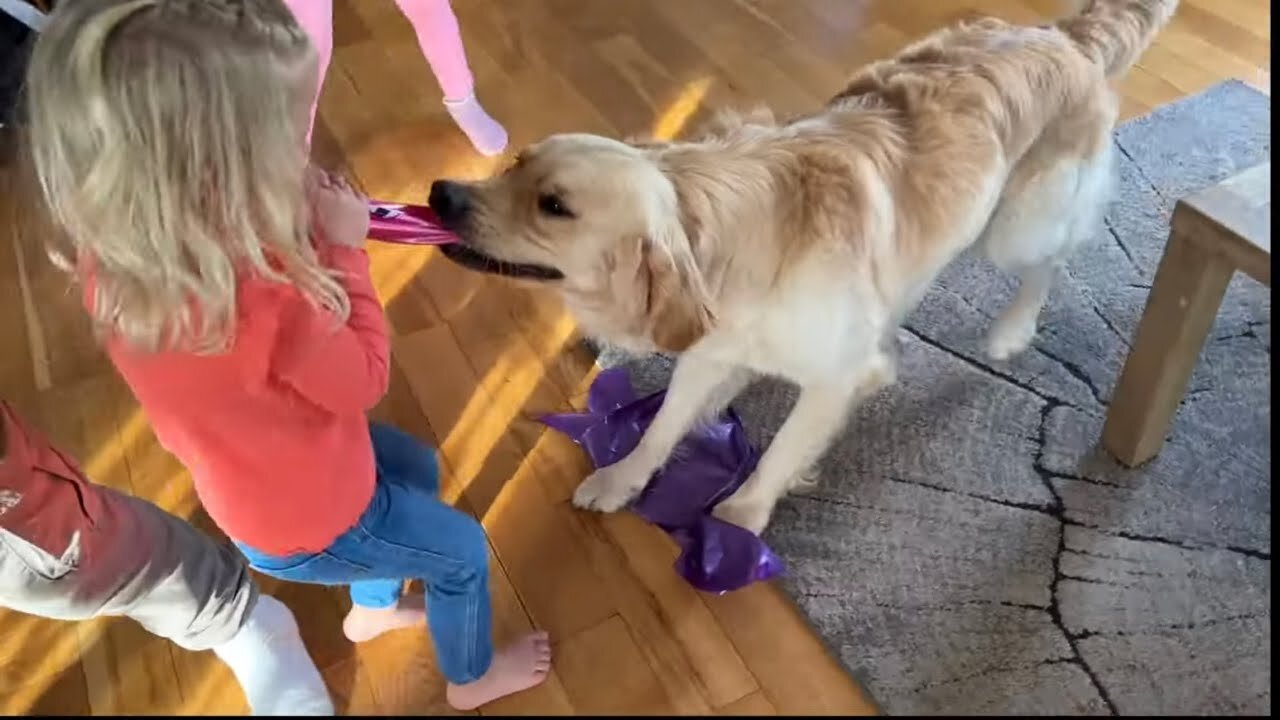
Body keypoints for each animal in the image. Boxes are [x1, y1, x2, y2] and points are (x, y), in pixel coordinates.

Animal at [427, 0, 1177, 530]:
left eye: (554, 206)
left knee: (1048, 263)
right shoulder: (708, 349)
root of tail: (1061, 35)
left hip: (1017, 224)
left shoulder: (837, 378)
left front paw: (743, 516)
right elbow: (666, 421)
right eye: (517, 163)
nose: (440, 192)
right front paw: (623, 478)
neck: (724, 246)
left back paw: (1012, 329)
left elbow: (787, 444)